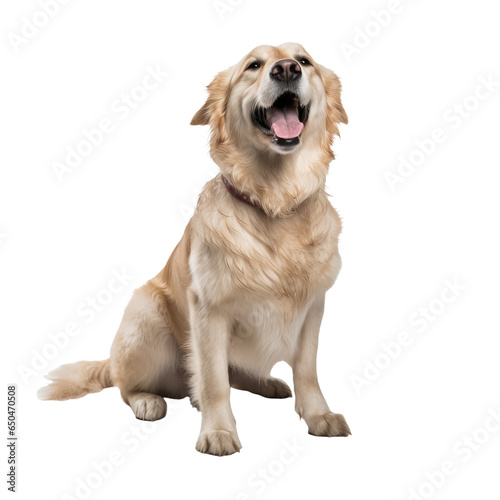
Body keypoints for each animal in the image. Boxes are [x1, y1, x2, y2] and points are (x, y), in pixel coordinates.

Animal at [39, 44, 350, 458]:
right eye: (254, 65)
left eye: (305, 60)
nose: (286, 69)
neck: (275, 202)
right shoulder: (208, 310)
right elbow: (215, 380)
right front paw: (218, 431)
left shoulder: (313, 307)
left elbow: (307, 370)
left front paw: (318, 415)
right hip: (146, 316)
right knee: (128, 385)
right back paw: (148, 400)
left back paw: (267, 383)